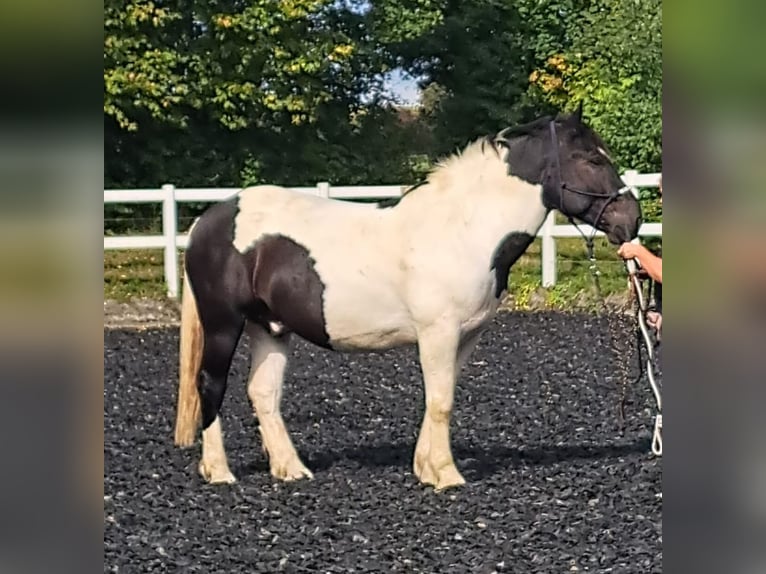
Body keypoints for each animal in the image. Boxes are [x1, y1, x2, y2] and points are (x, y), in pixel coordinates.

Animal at [172, 107, 642, 491]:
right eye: (593, 159)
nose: (632, 220)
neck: (464, 229)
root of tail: (209, 219)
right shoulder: (438, 332)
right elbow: (441, 401)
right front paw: (447, 476)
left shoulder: (464, 336)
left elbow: (440, 397)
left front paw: (426, 469)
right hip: (224, 324)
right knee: (210, 384)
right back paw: (219, 471)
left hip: (270, 327)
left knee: (264, 393)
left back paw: (291, 469)